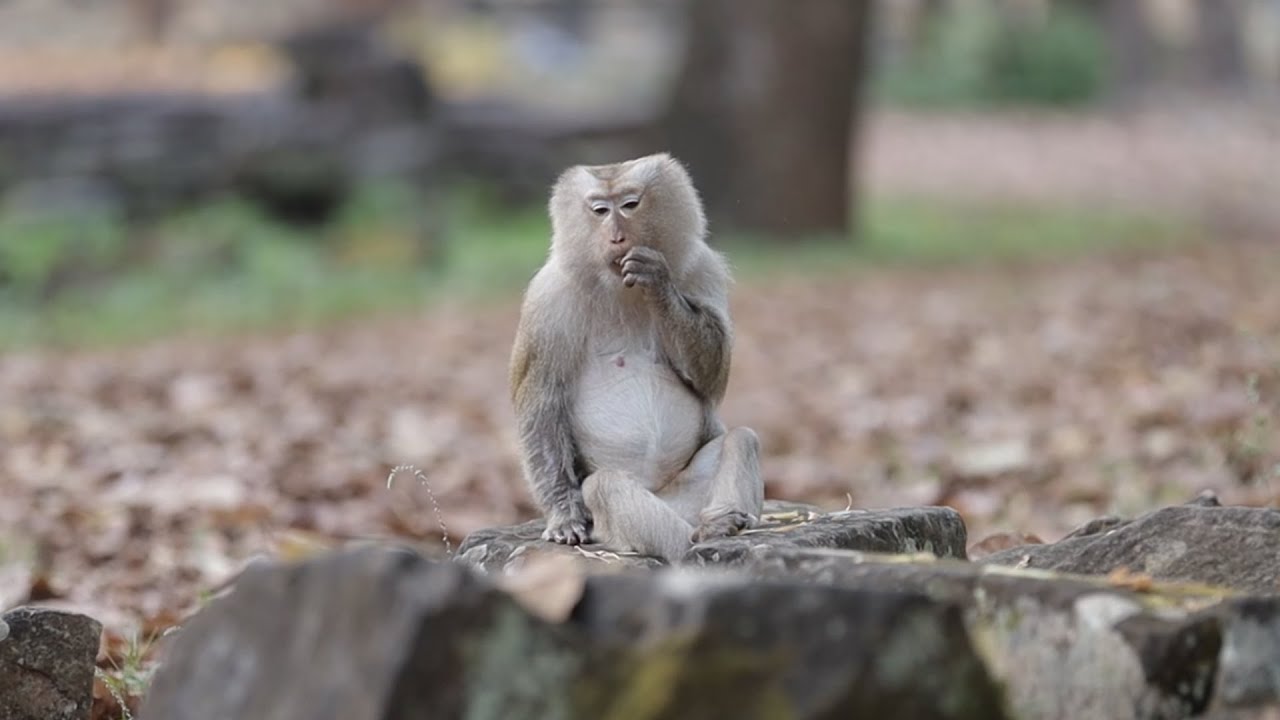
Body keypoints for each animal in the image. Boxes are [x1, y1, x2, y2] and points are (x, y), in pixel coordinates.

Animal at [509, 153, 764, 562]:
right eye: (600, 210)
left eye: (630, 205)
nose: (616, 236)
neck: (619, 287)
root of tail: (662, 498)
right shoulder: (550, 298)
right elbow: (542, 403)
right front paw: (564, 515)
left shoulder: (702, 268)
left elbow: (713, 373)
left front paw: (658, 282)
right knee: (604, 487)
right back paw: (689, 545)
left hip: (688, 495)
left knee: (741, 440)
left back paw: (721, 523)